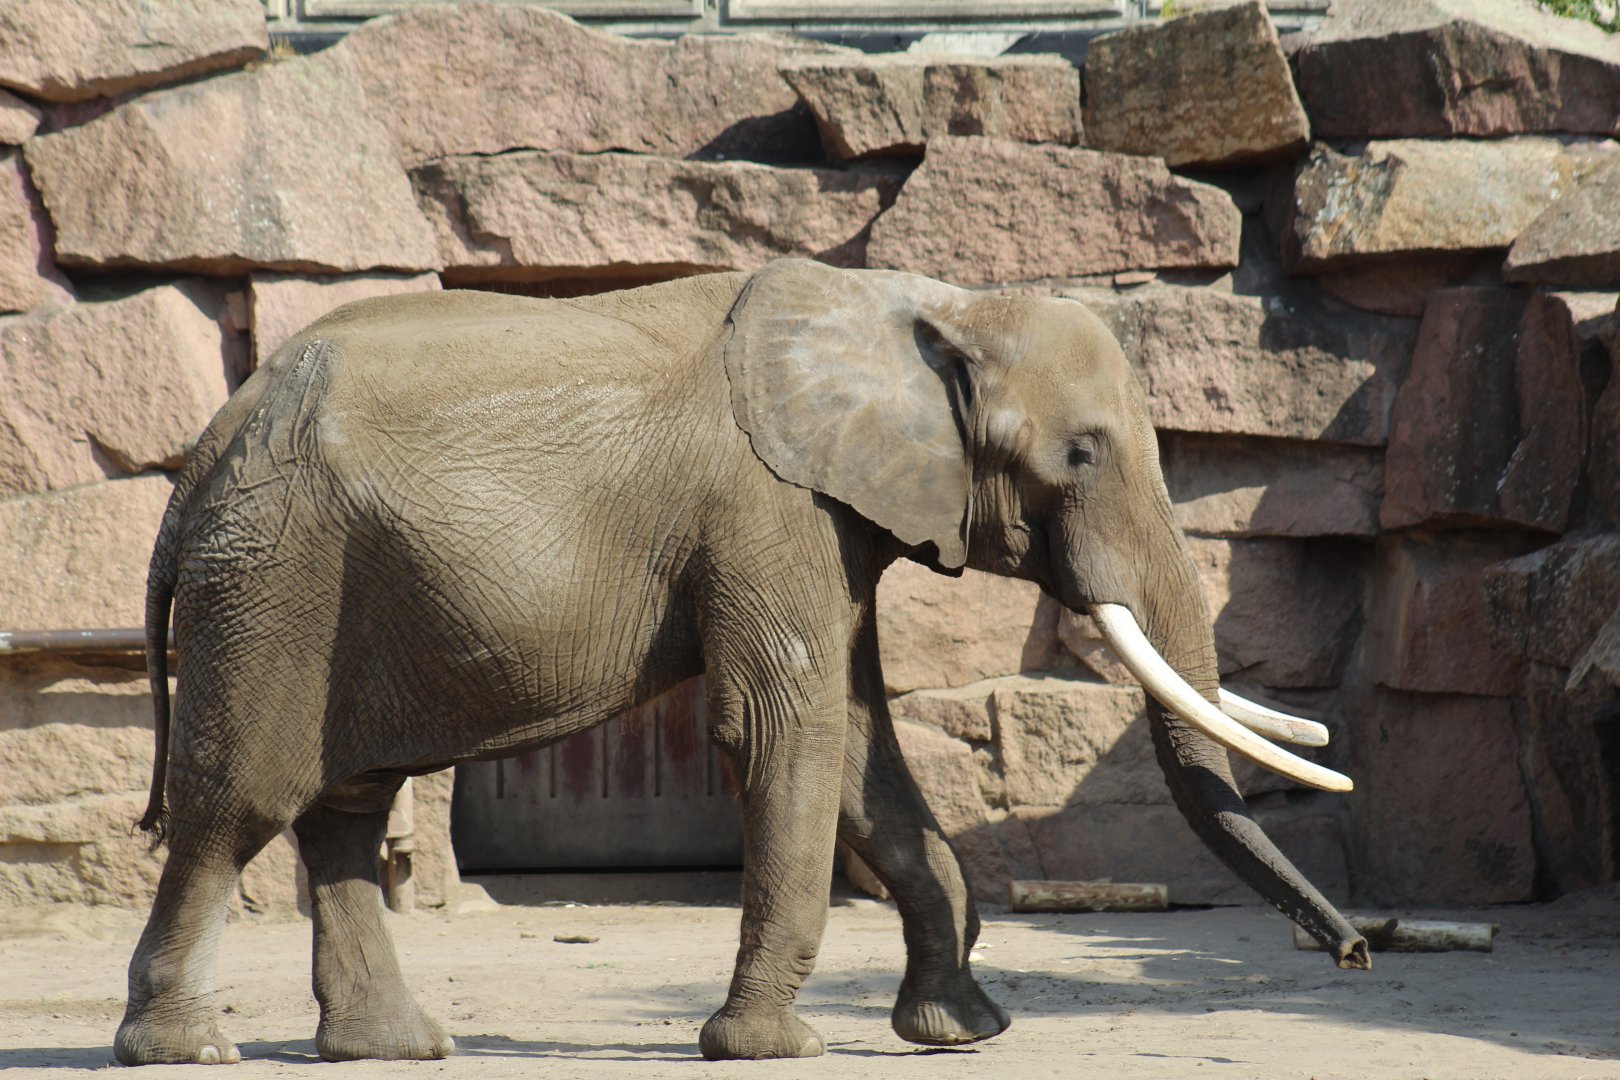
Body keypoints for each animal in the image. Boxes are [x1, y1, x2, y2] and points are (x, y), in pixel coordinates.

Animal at [114, 258, 1368, 1067]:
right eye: (1082, 454)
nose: (1355, 954)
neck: (926, 305)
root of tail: (203, 455)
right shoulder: (769, 503)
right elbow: (786, 728)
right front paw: (774, 1047)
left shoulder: (829, 517)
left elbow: (859, 741)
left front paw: (962, 1031)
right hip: (278, 576)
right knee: (244, 799)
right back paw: (188, 1052)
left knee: (346, 803)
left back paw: (397, 1049)